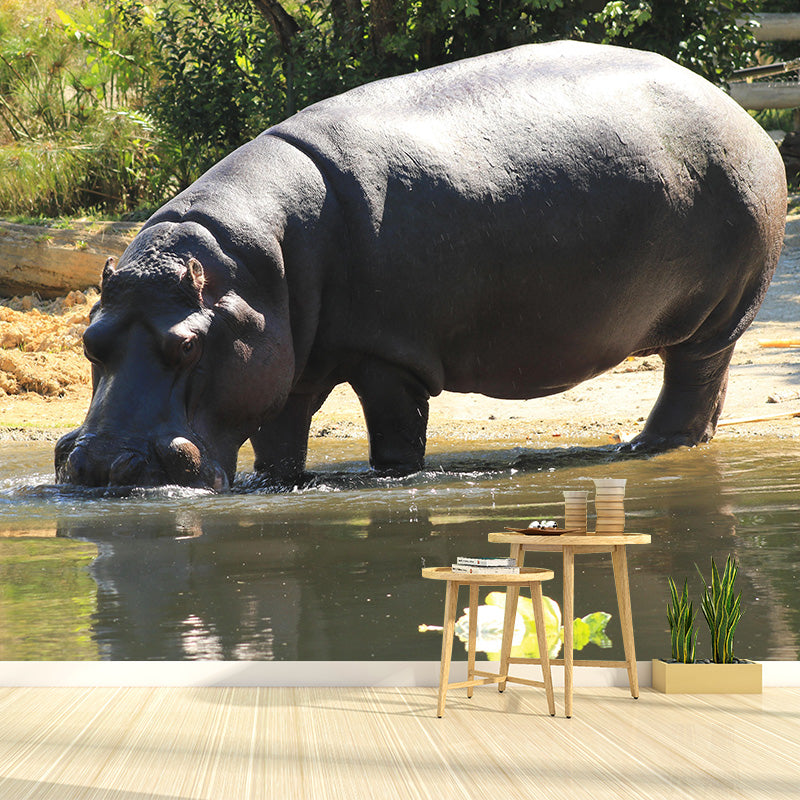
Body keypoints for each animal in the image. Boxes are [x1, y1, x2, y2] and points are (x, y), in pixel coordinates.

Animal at [55, 40, 786, 490]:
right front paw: (282, 483)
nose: (99, 467)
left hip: (720, 311)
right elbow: (278, 438)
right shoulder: (286, 357)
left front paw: (391, 480)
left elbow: (395, 438)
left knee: (693, 375)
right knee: (706, 385)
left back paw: (645, 449)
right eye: (89, 341)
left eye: (187, 345)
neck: (250, 267)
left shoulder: (390, 358)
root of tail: (740, 110)